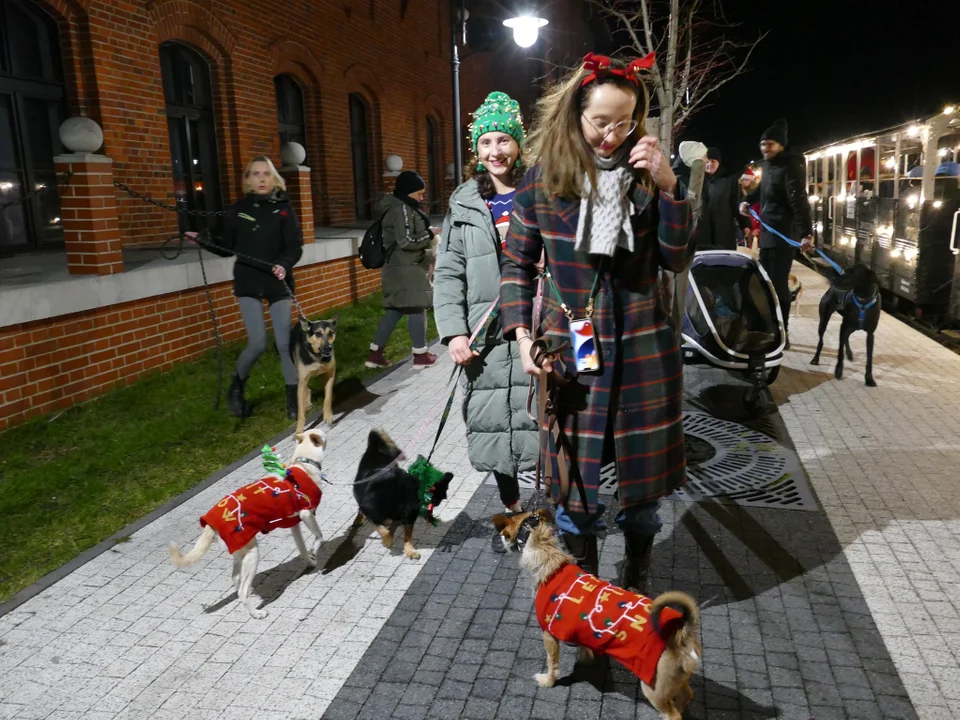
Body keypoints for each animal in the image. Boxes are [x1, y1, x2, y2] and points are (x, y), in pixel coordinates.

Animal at [168, 428, 326, 620]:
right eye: (322, 434)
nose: (326, 427)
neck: (303, 463)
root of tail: (211, 522)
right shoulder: (306, 514)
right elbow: (319, 536)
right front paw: (315, 551)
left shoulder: (294, 524)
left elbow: (302, 549)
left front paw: (310, 561)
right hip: (252, 553)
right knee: (242, 591)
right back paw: (256, 613)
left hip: (240, 552)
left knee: (236, 580)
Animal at [352, 430, 454, 560]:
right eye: (443, 493)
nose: (441, 500)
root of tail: (373, 447)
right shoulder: (371, 512)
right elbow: (385, 531)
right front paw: (387, 541)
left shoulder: (408, 519)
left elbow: (407, 536)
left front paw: (409, 550)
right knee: (361, 509)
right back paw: (360, 519)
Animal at [498, 512, 700, 720]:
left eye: (505, 531)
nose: (499, 537)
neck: (552, 561)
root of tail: (681, 632)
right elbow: (585, 647)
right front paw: (586, 659)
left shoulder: (549, 635)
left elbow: (552, 663)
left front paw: (548, 681)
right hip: (675, 679)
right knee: (687, 694)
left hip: (655, 689)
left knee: (673, 714)